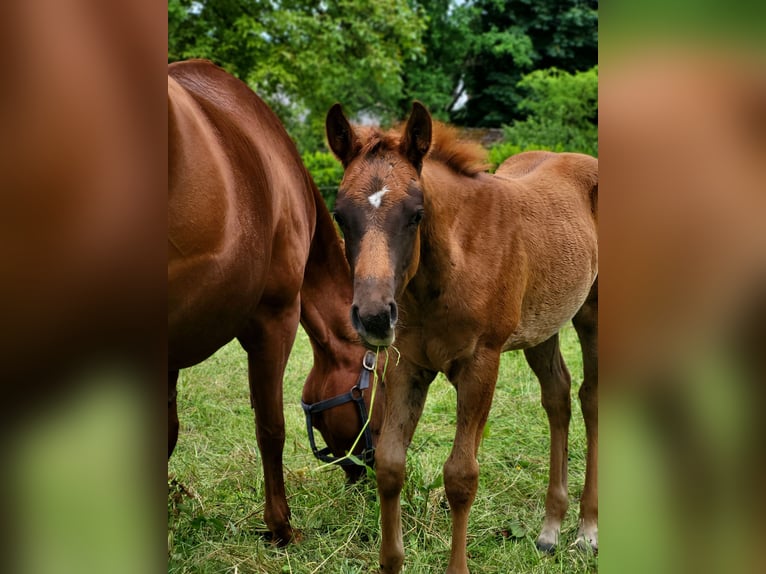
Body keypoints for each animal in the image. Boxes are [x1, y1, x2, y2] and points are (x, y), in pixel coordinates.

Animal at [325, 101, 598, 573]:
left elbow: (461, 475)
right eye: (341, 215)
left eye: (415, 214)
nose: (374, 317)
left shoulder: (480, 364)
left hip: (592, 315)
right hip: (543, 324)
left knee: (591, 398)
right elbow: (390, 464)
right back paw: (550, 530)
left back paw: (587, 531)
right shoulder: (407, 364)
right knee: (558, 395)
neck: (454, 260)